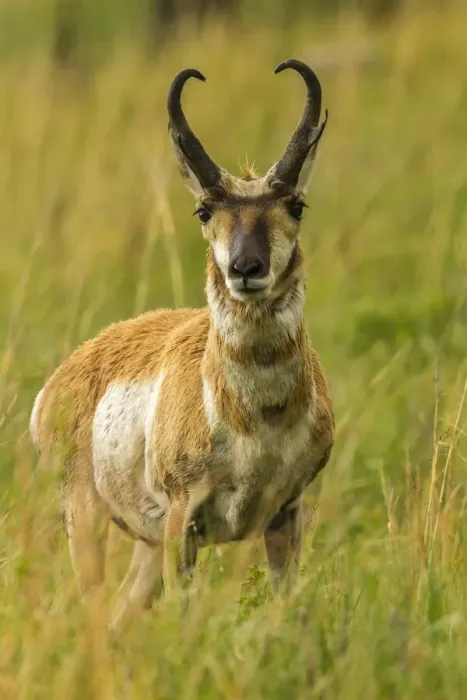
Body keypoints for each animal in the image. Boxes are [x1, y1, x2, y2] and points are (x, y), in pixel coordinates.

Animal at [30, 59, 334, 629]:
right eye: (204, 210)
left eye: (296, 204)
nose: (245, 268)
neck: (255, 420)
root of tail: (61, 379)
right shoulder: (182, 521)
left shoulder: (286, 514)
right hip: (89, 522)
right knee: (94, 614)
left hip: (145, 547)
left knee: (118, 615)